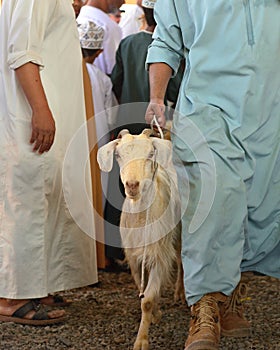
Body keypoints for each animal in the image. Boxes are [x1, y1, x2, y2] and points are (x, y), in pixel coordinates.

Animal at [97, 129, 185, 350]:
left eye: (150, 154)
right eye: (118, 155)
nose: (132, 185)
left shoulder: (159, 253)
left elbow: (146, 301)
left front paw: (142, 340)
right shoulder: (134, 256)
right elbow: (143, 289)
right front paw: (156, 312)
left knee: (181, 260)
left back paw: (180, 293)